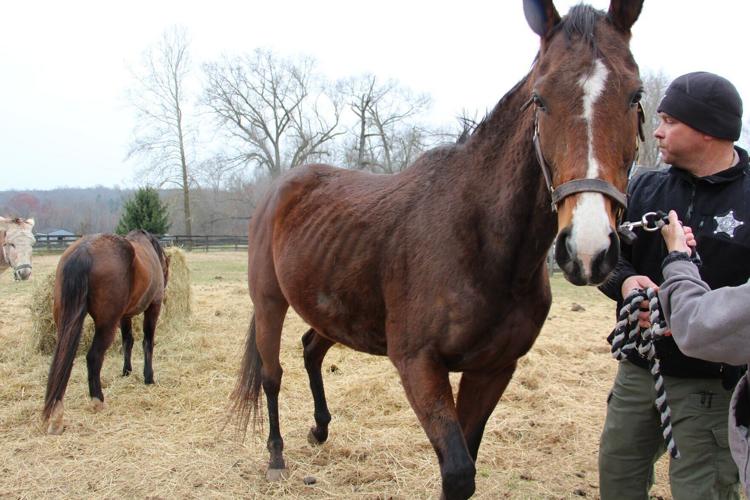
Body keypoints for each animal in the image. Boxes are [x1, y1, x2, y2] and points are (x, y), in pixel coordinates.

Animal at [42, 230, 170, 435]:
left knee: (63, 360)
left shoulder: (124, 316)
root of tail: (83, 252)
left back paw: (56, 414)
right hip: (106, 323)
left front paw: (126, 371)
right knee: (93, 357)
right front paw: (148, 377)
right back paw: (97, 400)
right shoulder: (153, 306)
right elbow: (147, 342)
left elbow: (128, 341)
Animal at [232, 1, 644, 498]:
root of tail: (279, 190)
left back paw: (320, 428)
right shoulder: (420, 365)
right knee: (272, 376)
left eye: (636, 95)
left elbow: (467, 459)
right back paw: (276, 456)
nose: (588, 250)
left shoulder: (493, 369)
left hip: (334, 308)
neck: (482, 242)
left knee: (312, 348)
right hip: (269, 302)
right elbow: (458, 471)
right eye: (541, 99)